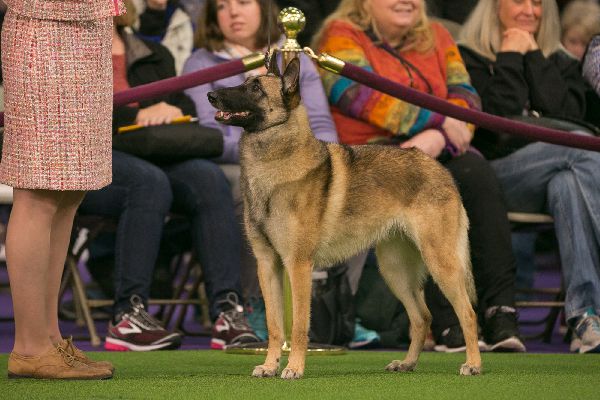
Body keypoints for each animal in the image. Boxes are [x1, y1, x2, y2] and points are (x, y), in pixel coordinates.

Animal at [209, 56, 480, 378]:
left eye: (255, 88)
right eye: (245, 81)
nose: (211, 95)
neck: (274, 164)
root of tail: (440, 168)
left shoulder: (298, 267)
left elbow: (298, 326)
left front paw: (294, 368)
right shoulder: (268, 265)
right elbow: (276, 326)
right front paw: (270, 366)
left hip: (440, 264)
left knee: (467, 313)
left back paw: (473, 364)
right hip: (395, 271)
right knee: (421, 317)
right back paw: (407, 363)